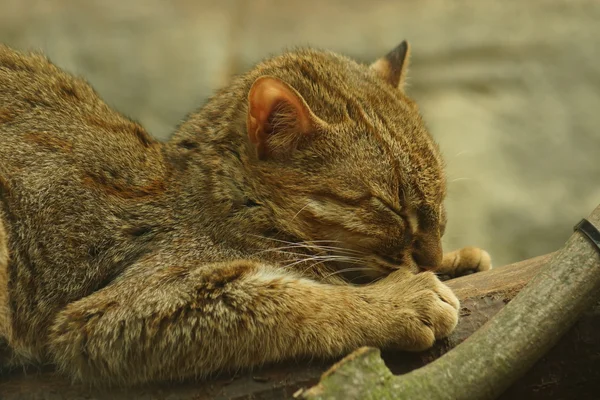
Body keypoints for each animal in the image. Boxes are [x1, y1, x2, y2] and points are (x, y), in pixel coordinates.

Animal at [0, 39, 490, 384]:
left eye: (441, 196)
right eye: (387, 206)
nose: (432, 256)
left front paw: (455, 260)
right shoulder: (113, 312)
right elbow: (297, 298)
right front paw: (400, 300)